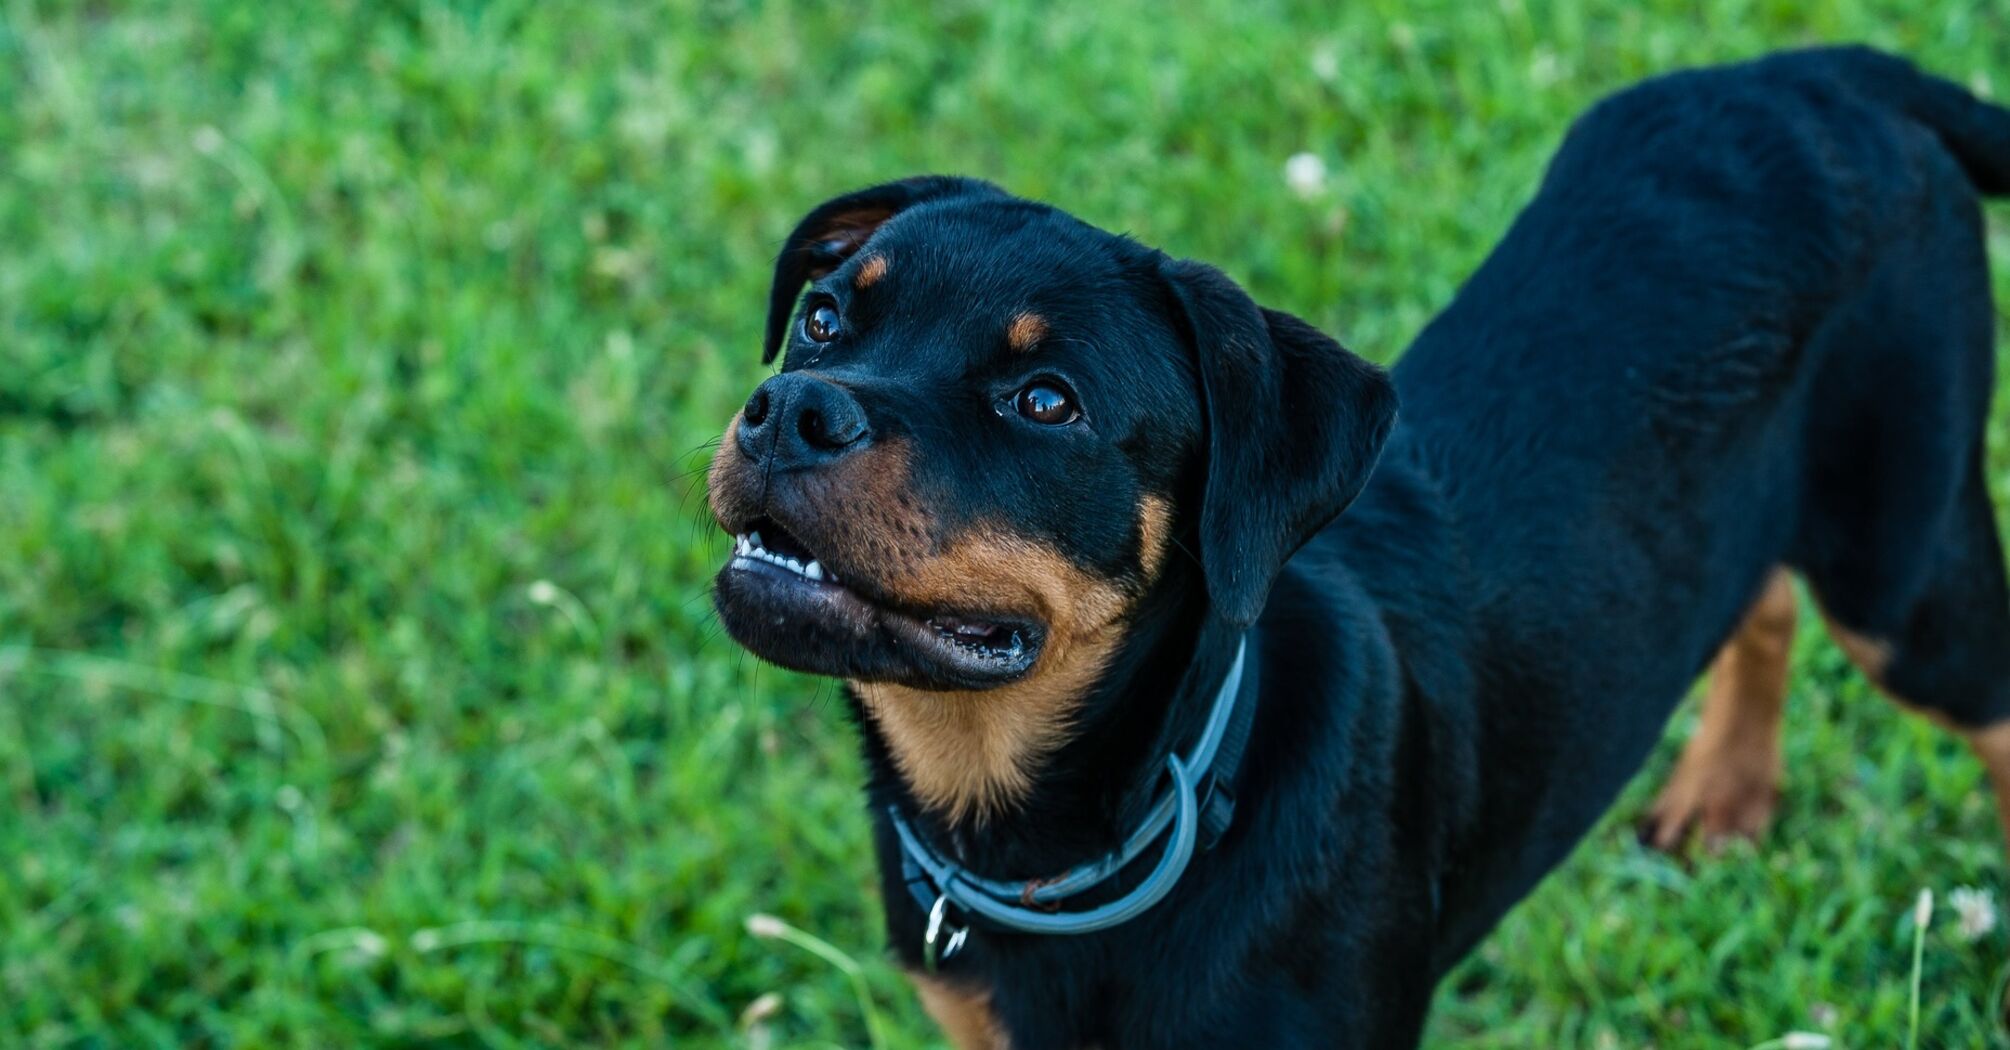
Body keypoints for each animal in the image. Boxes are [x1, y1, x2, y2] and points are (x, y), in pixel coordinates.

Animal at [707, 49, 2010, 1045]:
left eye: (1046, 401)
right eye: (825, 317)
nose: (789, 412)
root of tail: (1821, 71)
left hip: (1905, 571)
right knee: (1758, 596)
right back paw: (1725, 793)